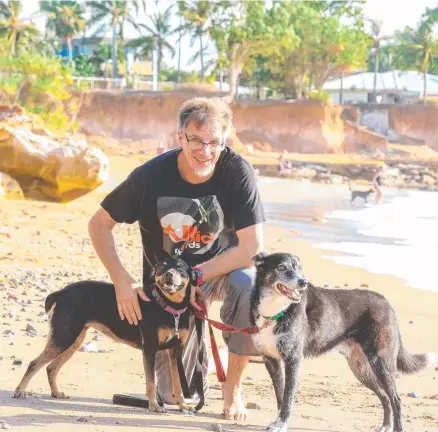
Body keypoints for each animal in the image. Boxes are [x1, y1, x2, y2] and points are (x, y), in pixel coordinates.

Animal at [13, 255, 198, 414]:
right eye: (162, 267)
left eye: (180, 267)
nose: (169, 274)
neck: (170, 308)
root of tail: (60, 292)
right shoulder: (149, 349)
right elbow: (151, 382)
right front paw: (154, 406)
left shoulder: (175, 352)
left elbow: (178, 385)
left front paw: (183, 406)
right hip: (63, 338)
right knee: (34, 363)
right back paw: (20, 391)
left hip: (73, 341)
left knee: (51, 367)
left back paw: (56, 393)